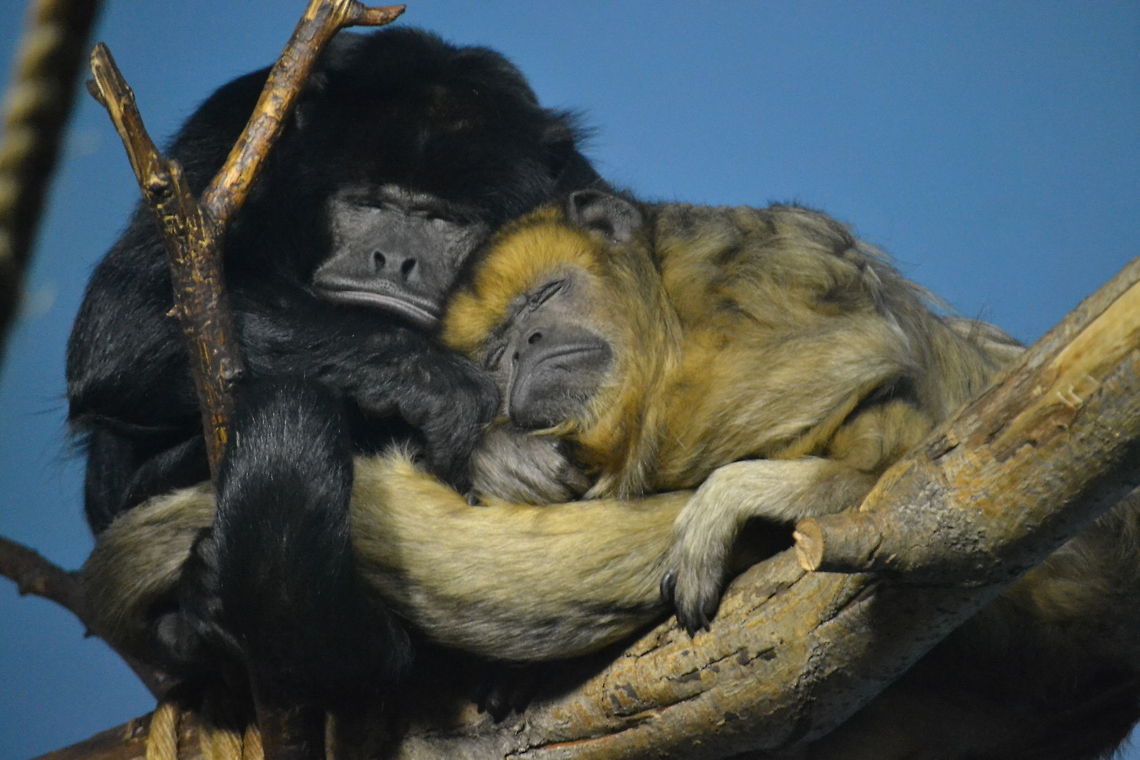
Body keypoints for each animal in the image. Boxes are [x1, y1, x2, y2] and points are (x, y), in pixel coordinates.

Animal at [70, 28, 603, 709]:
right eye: (367, 205)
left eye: (444, 221)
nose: (394, 259)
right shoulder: (230, 123)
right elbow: (120, 322)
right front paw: (435, 383)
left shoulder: (571, 191)